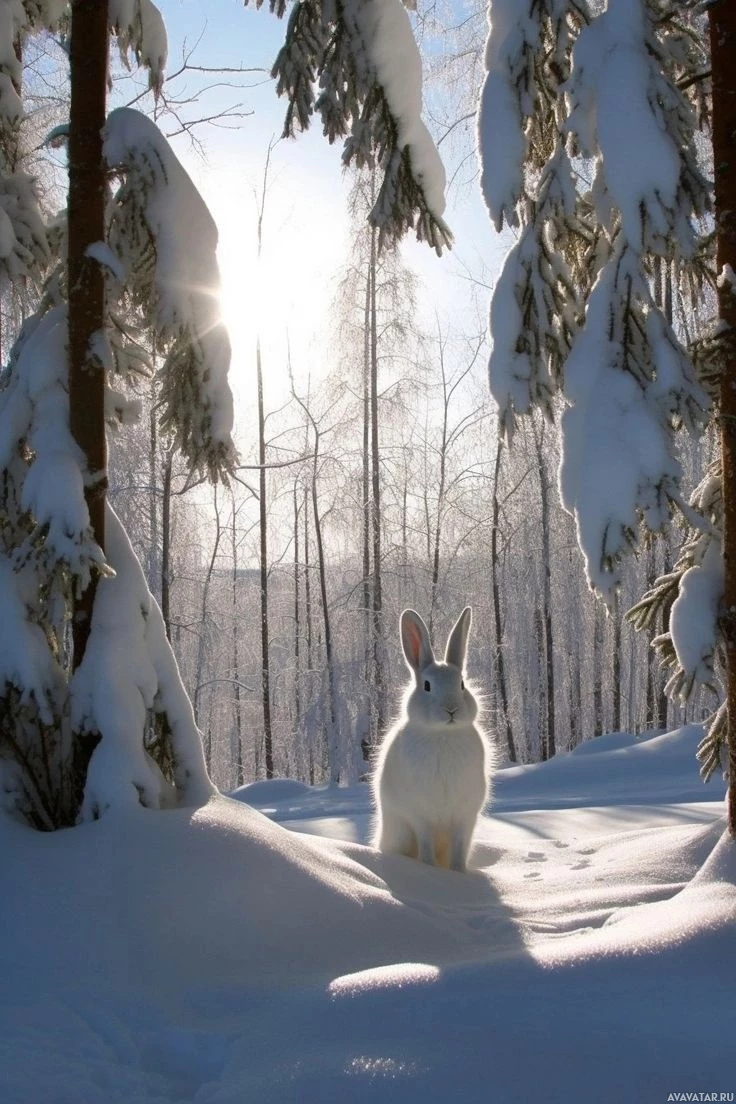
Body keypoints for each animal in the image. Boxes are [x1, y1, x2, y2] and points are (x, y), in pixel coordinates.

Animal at [375, 604, 489, 869]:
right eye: (427, 686)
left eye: (462, 684)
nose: (451, 710)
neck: (442, 734)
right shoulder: (420, 816)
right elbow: (425, 844)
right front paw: (428, 868)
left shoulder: (464, 817)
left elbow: (459, 849)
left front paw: (458, 872)